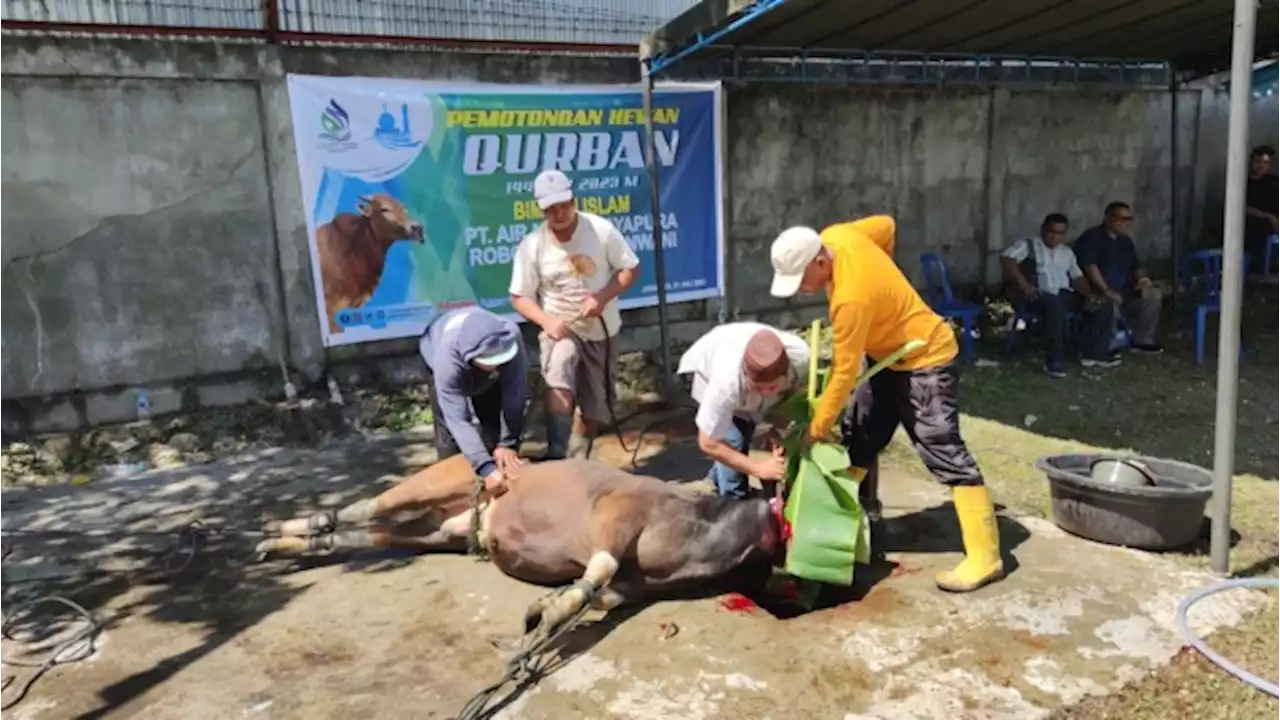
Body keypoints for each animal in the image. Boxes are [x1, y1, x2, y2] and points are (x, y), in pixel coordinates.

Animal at [252, 456, 778, 635]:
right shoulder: (618, 512)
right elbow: (601, 567)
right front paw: (551, 612)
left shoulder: (631, 590)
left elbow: (599, 593)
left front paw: (550, 605)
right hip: (431, 482)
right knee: (363, 506)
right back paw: (286, 527)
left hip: (435, 531)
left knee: (359, 533)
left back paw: (281, 545)